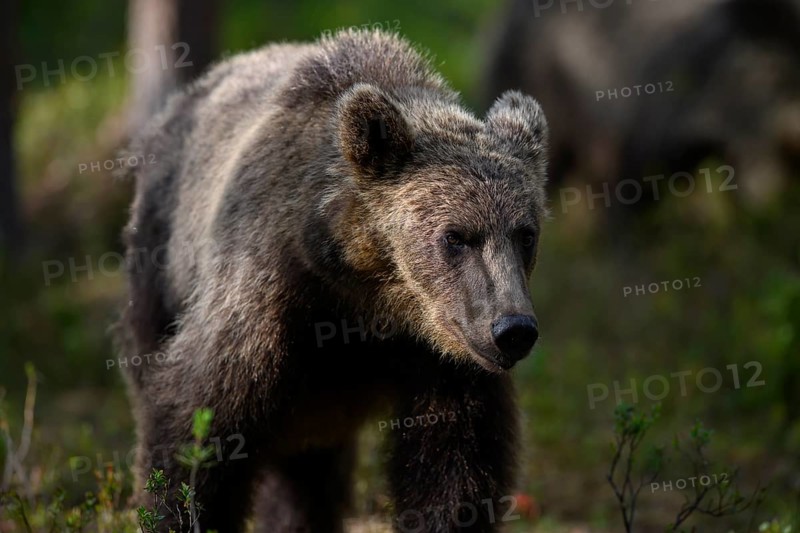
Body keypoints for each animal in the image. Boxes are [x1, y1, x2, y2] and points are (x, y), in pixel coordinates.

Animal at [119, 28, 549, 533]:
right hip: (157, 270)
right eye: (456, 236)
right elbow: (198, 423)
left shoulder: (446, 355)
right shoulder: (264, 294)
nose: (512, 329)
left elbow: (456, 465)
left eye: (525, 234)